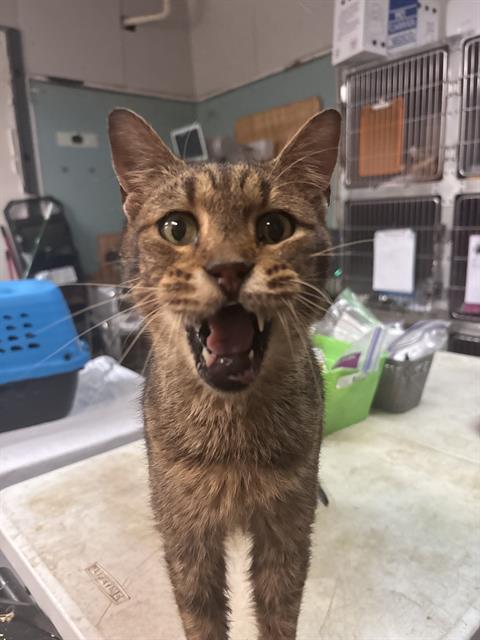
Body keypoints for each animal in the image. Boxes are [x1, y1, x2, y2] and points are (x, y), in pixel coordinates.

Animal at [109, 109, 342, 640]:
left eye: (275, 226)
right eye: (176, 228)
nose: (229, 268)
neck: (230, 435)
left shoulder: (286, 534)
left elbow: (279, 615)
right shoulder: (187, 539)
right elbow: (201, 616)